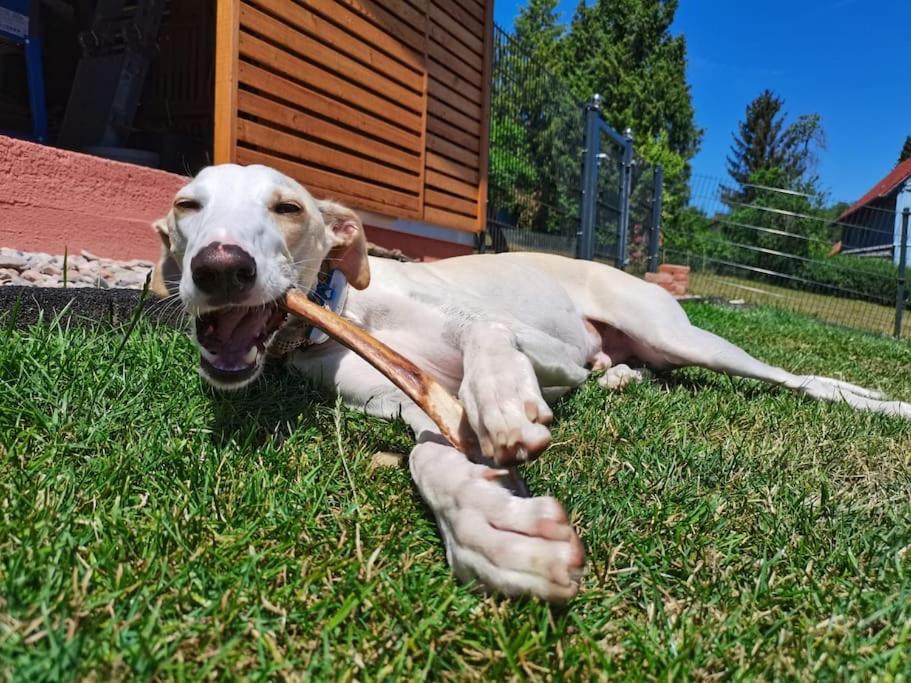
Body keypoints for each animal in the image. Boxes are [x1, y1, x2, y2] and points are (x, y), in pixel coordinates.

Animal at [155, 166, 911, 604]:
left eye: (287, 207)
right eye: (186, 204)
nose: (220, 267)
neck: (346, 310)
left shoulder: (550, 354)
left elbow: (490, 337)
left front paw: (500, 398)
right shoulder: (406, 398)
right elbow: (428, 450)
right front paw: (494, 530)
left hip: (684, 337)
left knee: (805, 378)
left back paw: (887, 403)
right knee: (640, 369)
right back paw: (621, 378)